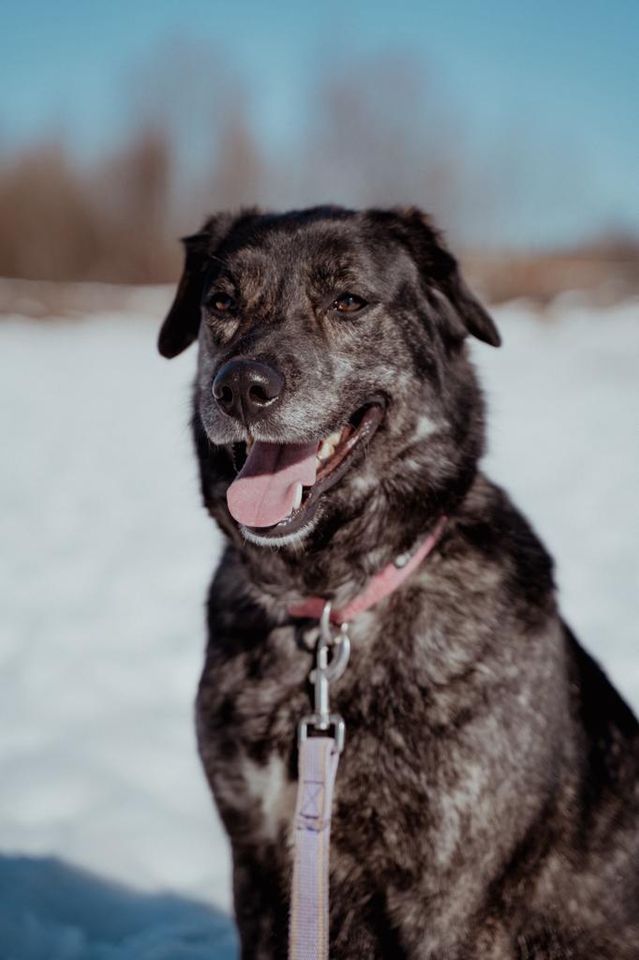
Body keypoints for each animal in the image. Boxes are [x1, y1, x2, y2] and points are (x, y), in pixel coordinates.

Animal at [158, 206, 639, 956]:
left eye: (349, 301)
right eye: (222, 304)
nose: (239, 388)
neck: (333, 600)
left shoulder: (444, 900)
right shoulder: (258, 861)